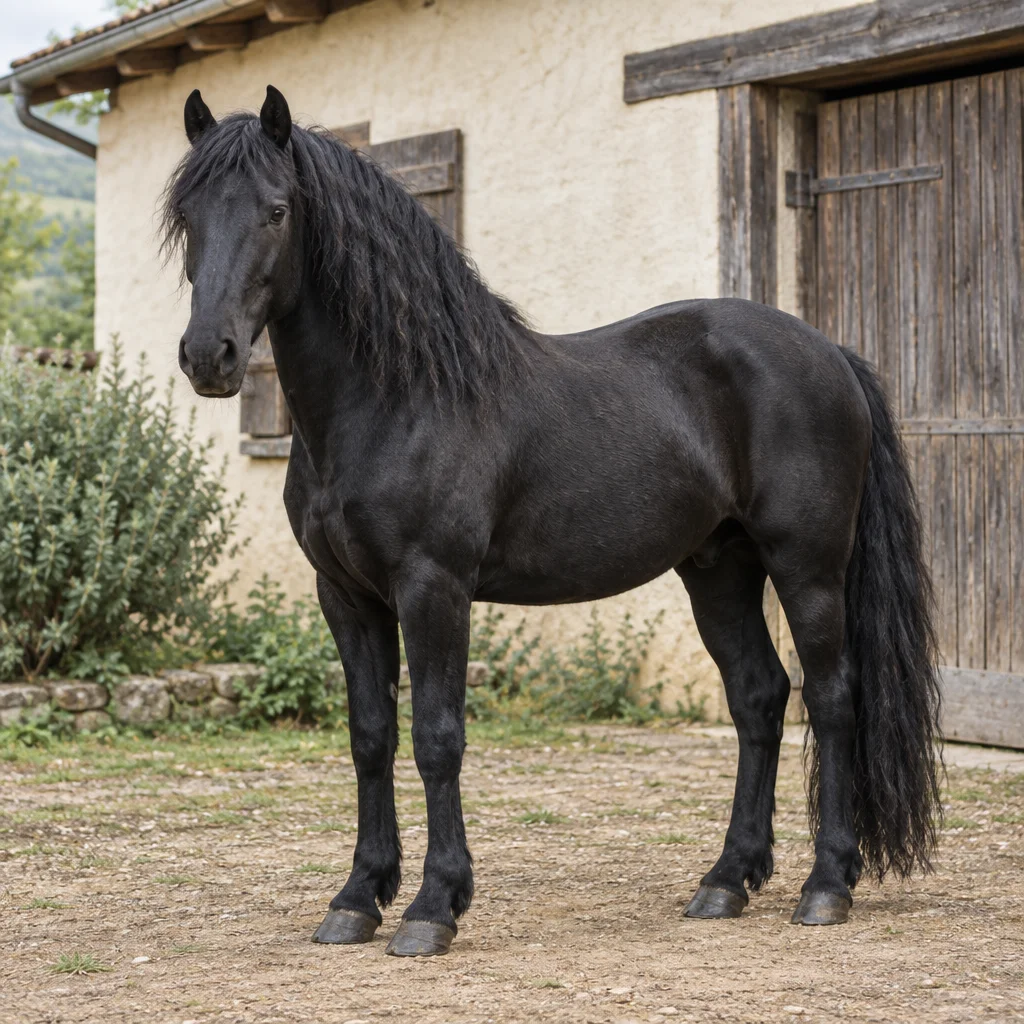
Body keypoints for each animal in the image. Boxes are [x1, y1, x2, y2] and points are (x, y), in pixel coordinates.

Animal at [163, 85, 942, 957]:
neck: (396, 397)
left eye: (276, 209)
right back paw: (725, 881)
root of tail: (830, 352)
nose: (210, 356)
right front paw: (358, 897)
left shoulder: (434, 588)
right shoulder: (347, 597)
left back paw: (826, 886)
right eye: (187, 213)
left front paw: (434, 906)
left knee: (832, 698)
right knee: (759, 697)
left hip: (807, 567)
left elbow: (437, 738)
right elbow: (370, 737)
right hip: (720, 568)